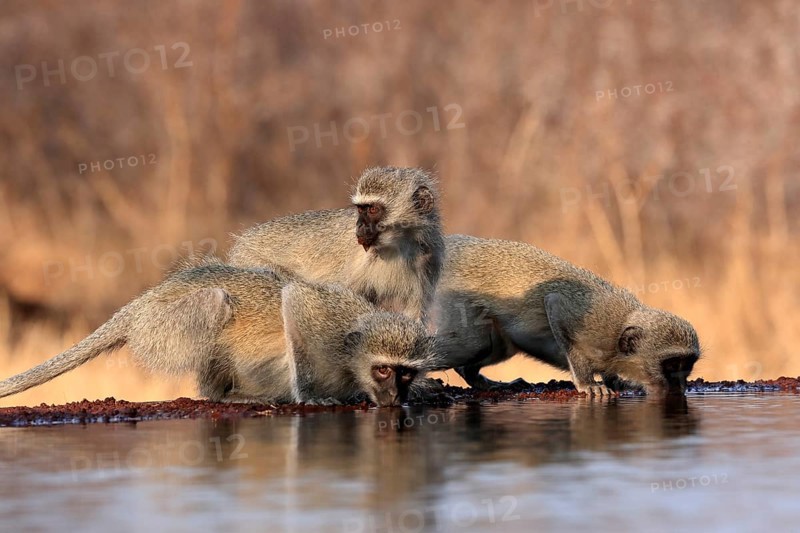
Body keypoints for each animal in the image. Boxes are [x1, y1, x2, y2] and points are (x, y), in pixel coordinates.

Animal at [0, 263, 439, 407]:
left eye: (403, 373)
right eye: (383, 371)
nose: (393, 396)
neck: (351, 358)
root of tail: (141, 304)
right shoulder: (325, 324)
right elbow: (294, 300)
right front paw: (310, 397)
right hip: (162, 328)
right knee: (215, 302)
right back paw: (225, 395)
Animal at [227, 166, 445, 322]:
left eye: (372, 209)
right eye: (360, 209)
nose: (359, 226)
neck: (397, 246)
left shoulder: (429, 258)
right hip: (246, 262)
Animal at [430, 235, 701, 396]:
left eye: (686, 365)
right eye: (672, 365)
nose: (680, 386)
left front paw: (613, 380)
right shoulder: (593, 322)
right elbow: (555, 305)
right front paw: (587, 384)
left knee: (494, 347)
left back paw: (475, 377)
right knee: (473, 345)